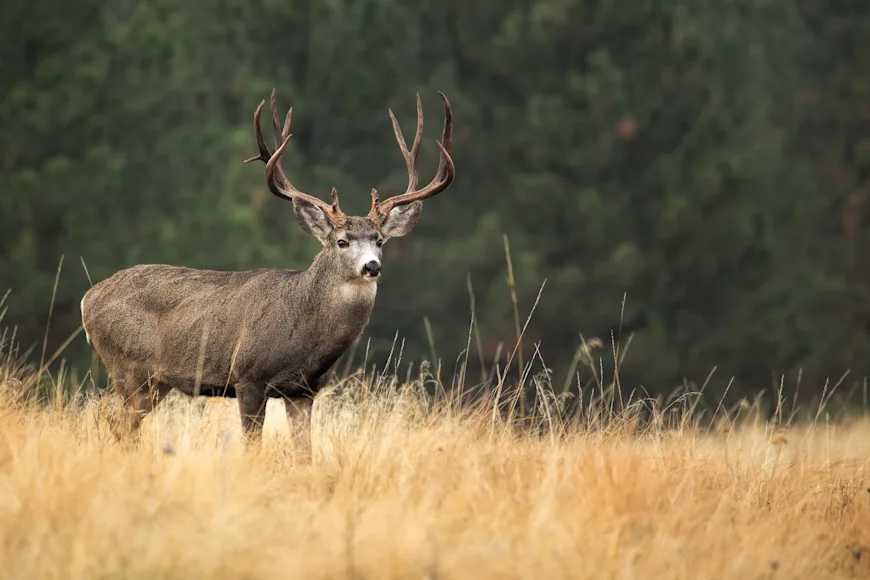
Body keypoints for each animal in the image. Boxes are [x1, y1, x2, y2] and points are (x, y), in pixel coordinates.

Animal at [80, 88, 455, 446]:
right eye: (342, 241)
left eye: (379, 241)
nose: (372, 267)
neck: (306, 334)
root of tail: (88, 298)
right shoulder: (247, 376)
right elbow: (252, 444)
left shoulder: (304, 390)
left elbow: (305, 451)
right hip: (127, 367)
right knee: (117, 422)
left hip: (156, 382)